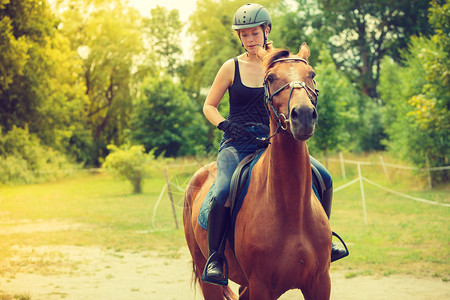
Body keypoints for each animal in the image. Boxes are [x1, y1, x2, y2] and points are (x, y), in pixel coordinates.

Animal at [182, 42, 330, 300]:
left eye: (311, 75)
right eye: (270, 78)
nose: (302, 115)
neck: (292, 212)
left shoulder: (320, 283)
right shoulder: (261, 286)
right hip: (206, 273)